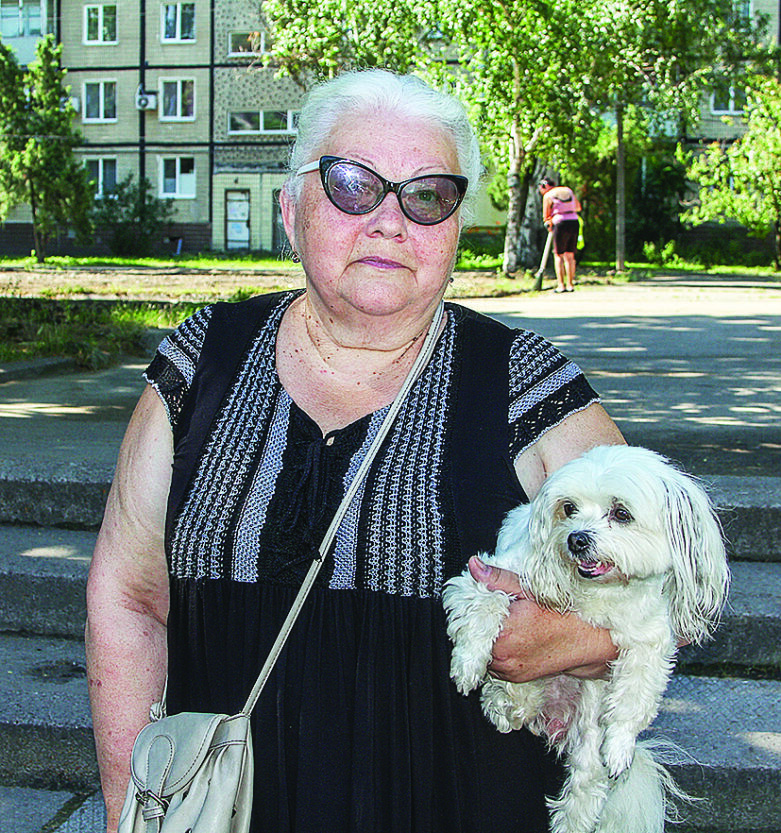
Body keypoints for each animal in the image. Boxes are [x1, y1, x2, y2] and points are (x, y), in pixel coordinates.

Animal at [442, 446, 728, 832]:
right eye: (568, 508)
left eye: (621, 513)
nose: (576, 539)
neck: (596, 589)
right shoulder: (491, 574)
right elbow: (485, 604)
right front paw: (469, 662)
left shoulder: (650, 637)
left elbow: (636, 693)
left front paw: (620, 745)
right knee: (515, 701)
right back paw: (505, 699)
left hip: (591, 721)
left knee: (588, 778)